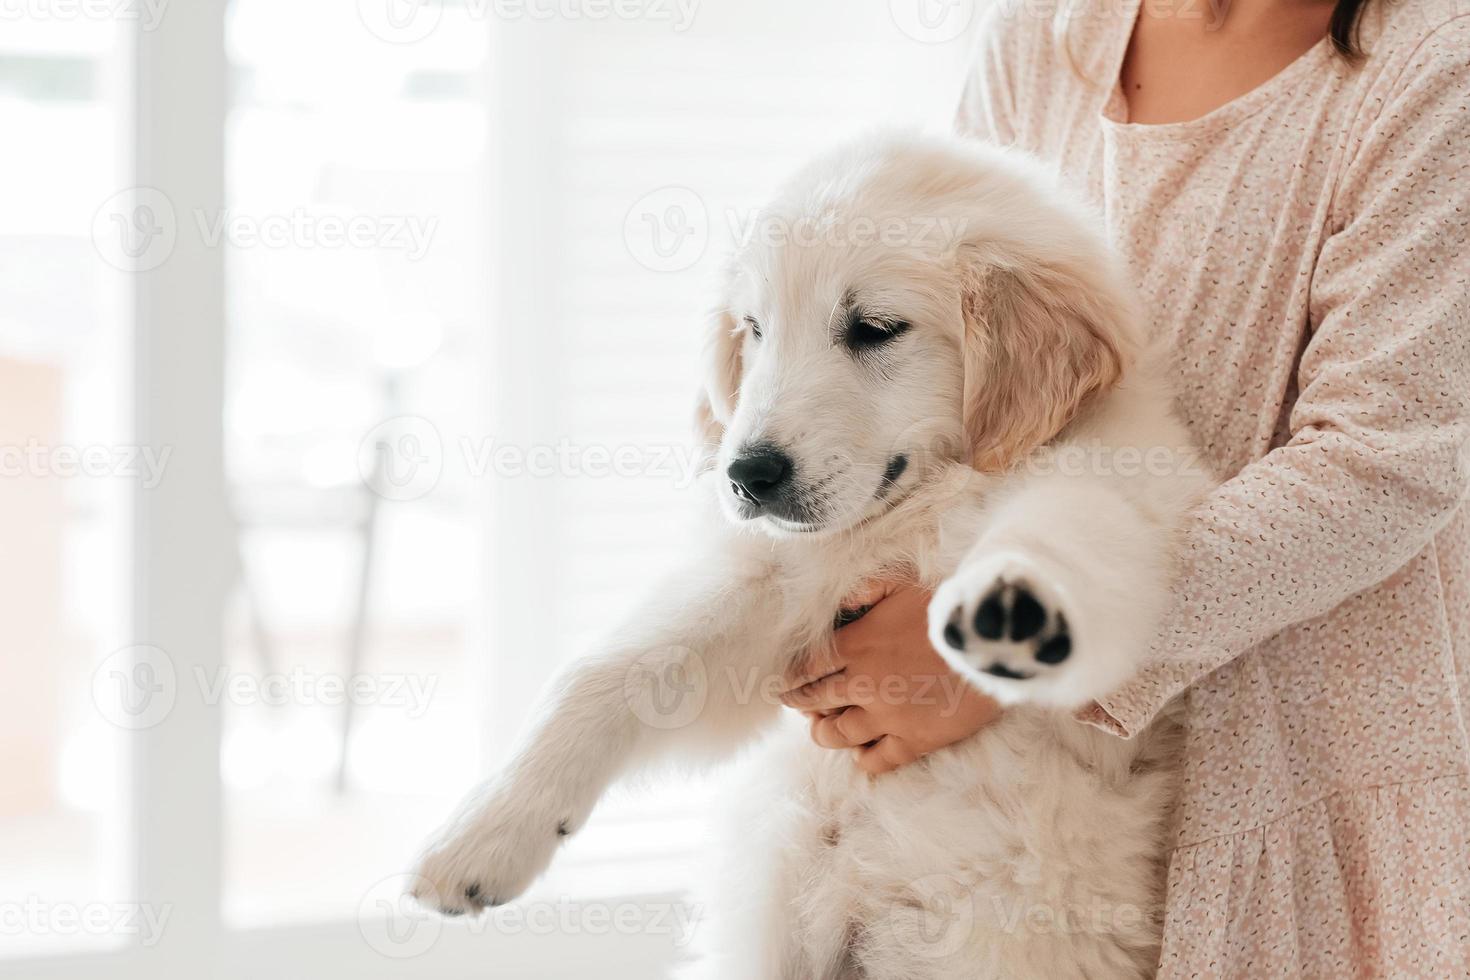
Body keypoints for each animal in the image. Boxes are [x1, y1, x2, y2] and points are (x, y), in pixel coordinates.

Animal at [411, 132, 1205, 980]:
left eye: (874, 328)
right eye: (755, 329)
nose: (746, 474)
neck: (916, 510)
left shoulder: (1128, 493)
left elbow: (1066, 533)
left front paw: (1010, 608)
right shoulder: (778, 596)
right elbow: (604, 674)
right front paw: (480, 839)